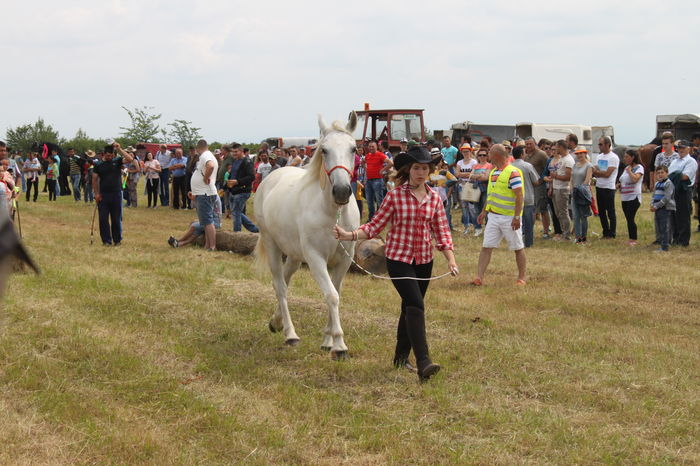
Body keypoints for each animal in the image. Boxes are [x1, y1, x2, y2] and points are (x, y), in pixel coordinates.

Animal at [253, 112, 360, 359]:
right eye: (324, 150)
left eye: (353, 148)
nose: (342, 191)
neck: (332, 213)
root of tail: (271, 177)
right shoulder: (315, 258)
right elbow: (331, 295)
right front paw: (340, 345)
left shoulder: (344, 259)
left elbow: (336, 292)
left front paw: (328, 341)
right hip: (272, 244)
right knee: (280, 286)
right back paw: (290, 334)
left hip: (293, 255)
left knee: (285, 280)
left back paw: (276, 322)